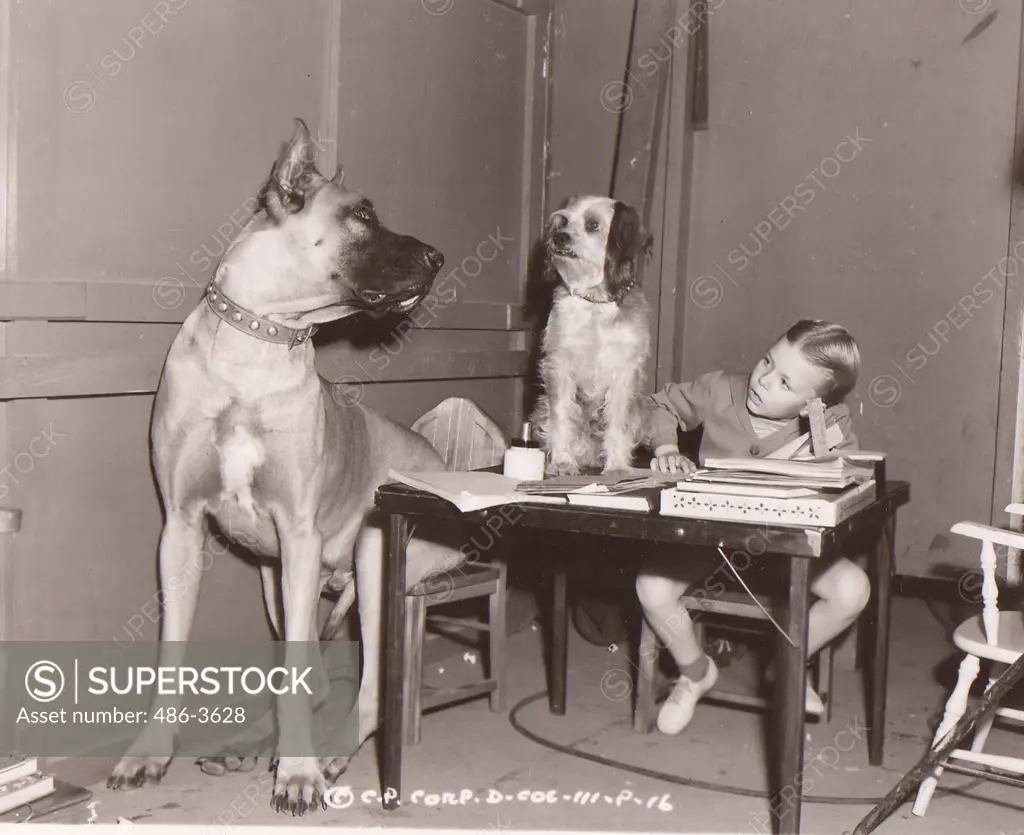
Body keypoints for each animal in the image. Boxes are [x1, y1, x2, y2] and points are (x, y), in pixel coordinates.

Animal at [108, 119, 468, 815]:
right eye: (362, 214)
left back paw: (325, 758)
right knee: (319, 680)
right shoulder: (182, 530)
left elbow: (303, 675)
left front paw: (296, 774)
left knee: (370, 689)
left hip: (374, 557)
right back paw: (251, 745)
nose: (439, 257)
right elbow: (173, 653)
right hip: (273, 577)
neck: (261, 341)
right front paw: (149, 754)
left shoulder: (298, 534)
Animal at [532, 191, 651, 473]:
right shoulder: (559, 366)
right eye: (563, 222)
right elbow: (561, 416)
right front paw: (562, 461)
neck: (595, 305)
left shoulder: (624, 374)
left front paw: (617, 466)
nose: (558, 237)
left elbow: (618, 422)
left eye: (592, 225)